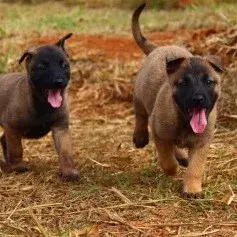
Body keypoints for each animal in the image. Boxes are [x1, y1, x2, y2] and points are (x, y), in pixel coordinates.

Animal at [0, 33, 79, 181]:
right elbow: (16, 149)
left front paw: (69, 171)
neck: (43, 105)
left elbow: (66, 152)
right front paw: (17, 166)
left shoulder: (61, 128)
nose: (59, 82)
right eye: (42, 67)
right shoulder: (12, 128)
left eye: (64, 65)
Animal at [132, 3, 223, 198]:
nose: (198, 98)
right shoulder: (159, 133)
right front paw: (172, 169)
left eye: (209, 82)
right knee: (140, 115)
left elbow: (195, 169)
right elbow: (167, 160)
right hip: (140, 95)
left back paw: (181, 156)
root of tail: (158, 48)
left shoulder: (202, 144)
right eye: (183, 83)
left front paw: (193, 189)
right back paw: (140, 136)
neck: (184, 121)